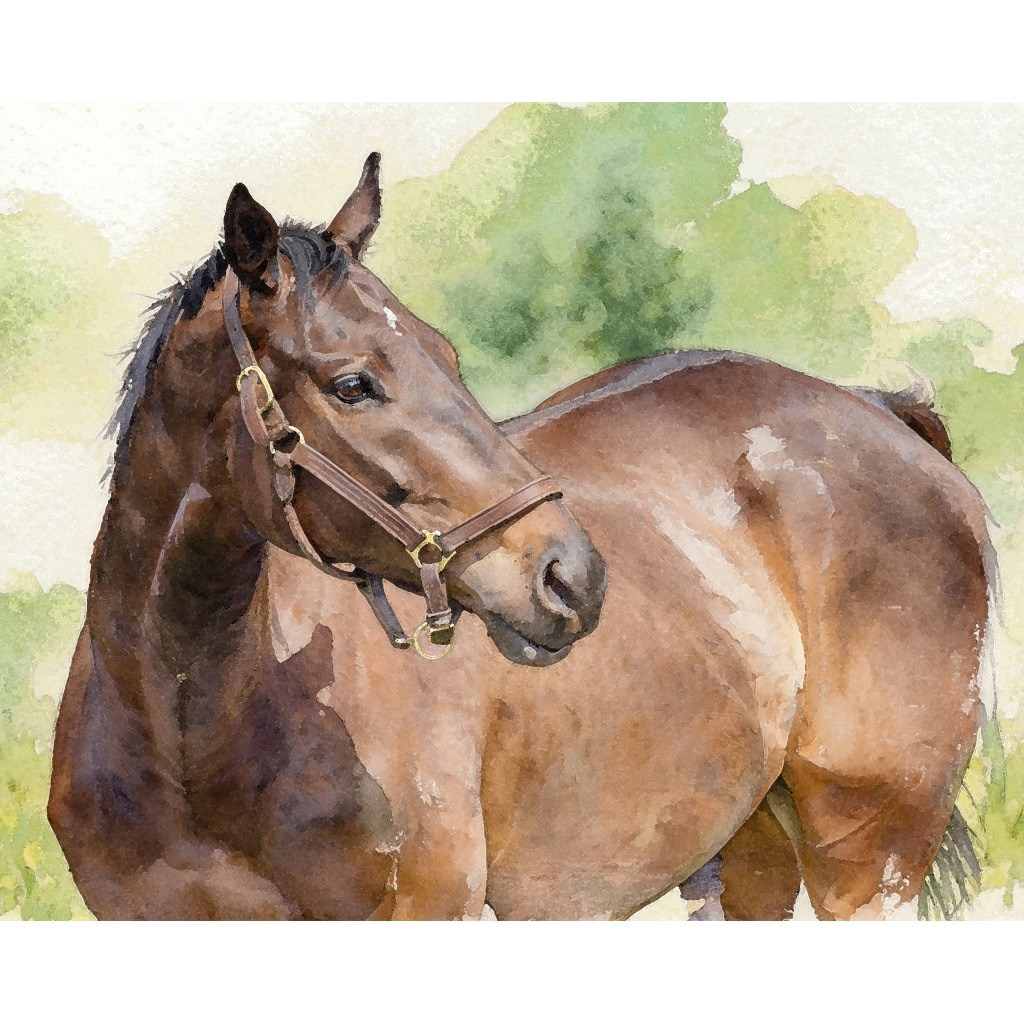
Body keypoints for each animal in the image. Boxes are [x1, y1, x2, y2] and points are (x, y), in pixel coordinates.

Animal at [50, 156, 994, 925]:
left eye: (447, 354)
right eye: (352, 384)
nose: (573, 577)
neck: (191, 730)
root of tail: (881, 411)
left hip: (868, 864)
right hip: (755, 851)